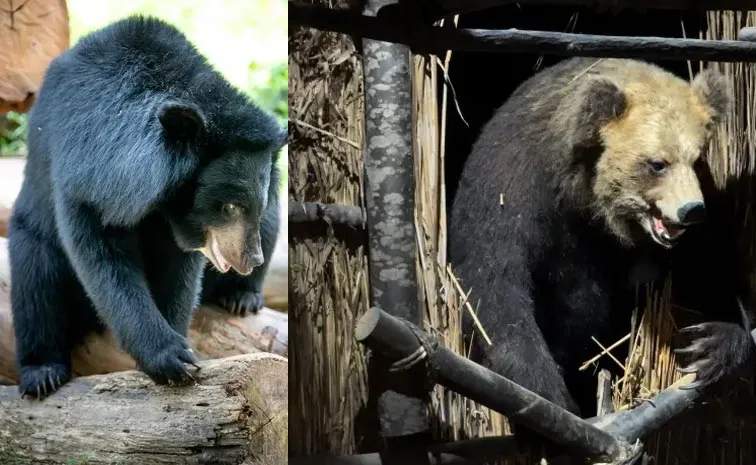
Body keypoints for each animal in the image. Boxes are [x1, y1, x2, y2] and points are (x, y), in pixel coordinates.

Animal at [8, 15, 286, 398]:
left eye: (253, 204)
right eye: (230, 206)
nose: (250, 260)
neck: (158, 199)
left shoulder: (185, 225)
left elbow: (179, 272)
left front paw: (179, 348)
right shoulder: (84, 177)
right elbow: (103, 261)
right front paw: (170, 357)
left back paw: (240, 296)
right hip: (32, 233)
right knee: (35, 279)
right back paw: (42, 374)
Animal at [448, 57, 755, 418]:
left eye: (696, 158)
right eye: (657, 164)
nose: (690, 210)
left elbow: (711, 266)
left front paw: (711, 344)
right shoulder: (516, 186)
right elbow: (493, 286)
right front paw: (552, 397)